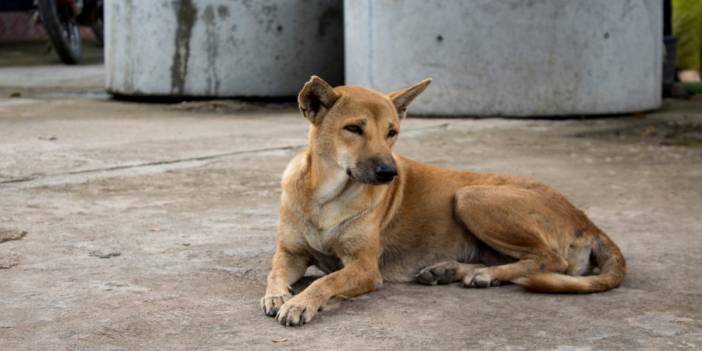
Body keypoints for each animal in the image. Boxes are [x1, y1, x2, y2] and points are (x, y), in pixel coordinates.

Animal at [260, 76, 628, 328]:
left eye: (392, 132)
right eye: (353, 128)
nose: (389, 173)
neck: (326, 197)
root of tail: (586, 220)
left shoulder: (364, 268)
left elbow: (327, 280)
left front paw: (301, 303)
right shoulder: (291, 253)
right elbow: (275, 270)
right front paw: (277, 294)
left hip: (471, 196)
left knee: (551, 260)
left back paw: (485, 275)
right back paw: (454, 270)